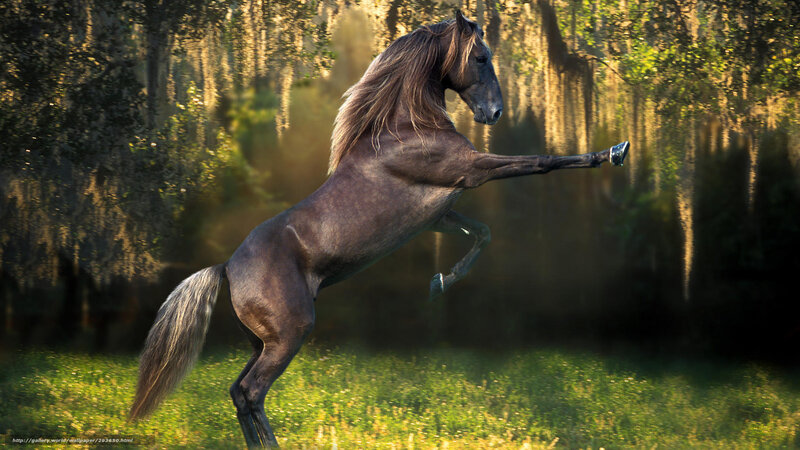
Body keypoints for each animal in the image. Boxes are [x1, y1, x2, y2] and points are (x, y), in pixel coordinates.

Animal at [129, 10, 629, 448]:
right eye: (481, 57)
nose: (495, 113)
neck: (407, 127)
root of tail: (226, 268)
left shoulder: (439, 214)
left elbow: (481, 233)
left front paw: (439, 282)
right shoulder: (471, 170)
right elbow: (542, 162)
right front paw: (613, 152)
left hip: (261, 341)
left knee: (238, 392)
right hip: (288, 335)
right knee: (251, 392)